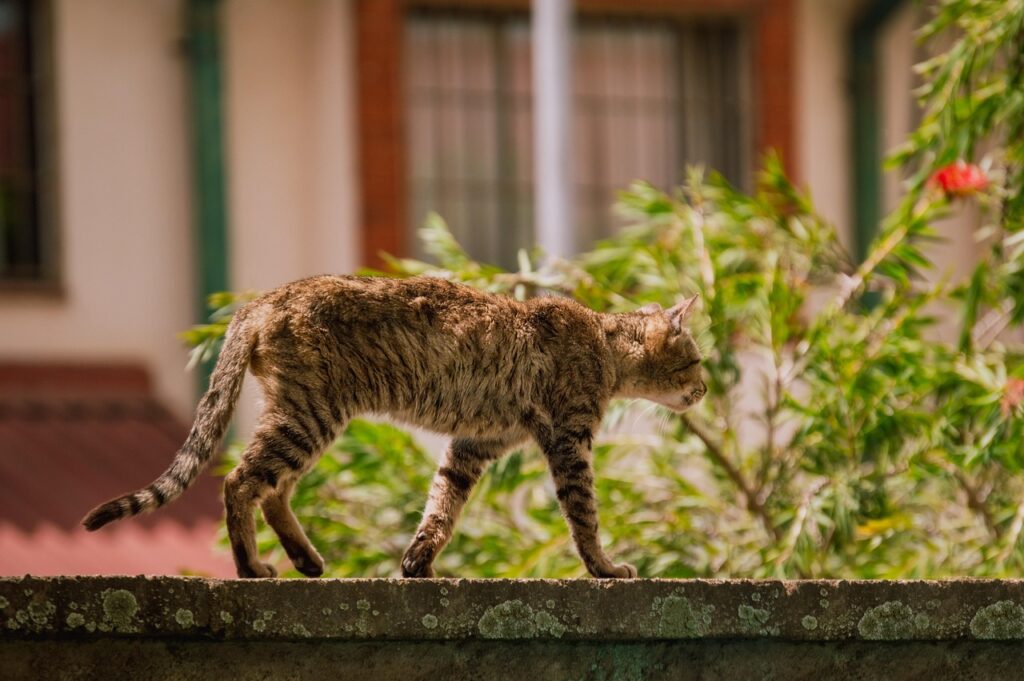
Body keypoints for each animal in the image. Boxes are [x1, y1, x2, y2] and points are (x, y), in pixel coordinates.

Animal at [83, 276, 704, 577]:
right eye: (697, 362)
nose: (702, 390)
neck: (603, 345)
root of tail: (260, 301)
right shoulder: (569, 442)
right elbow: (584, 516)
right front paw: (604, 568)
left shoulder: (474, 444)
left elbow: (441, 507)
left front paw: (418, 563)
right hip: (308, 415)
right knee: (241, 482)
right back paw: (251, 567)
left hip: (304, 415)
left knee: (273, 489)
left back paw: (305, 560)